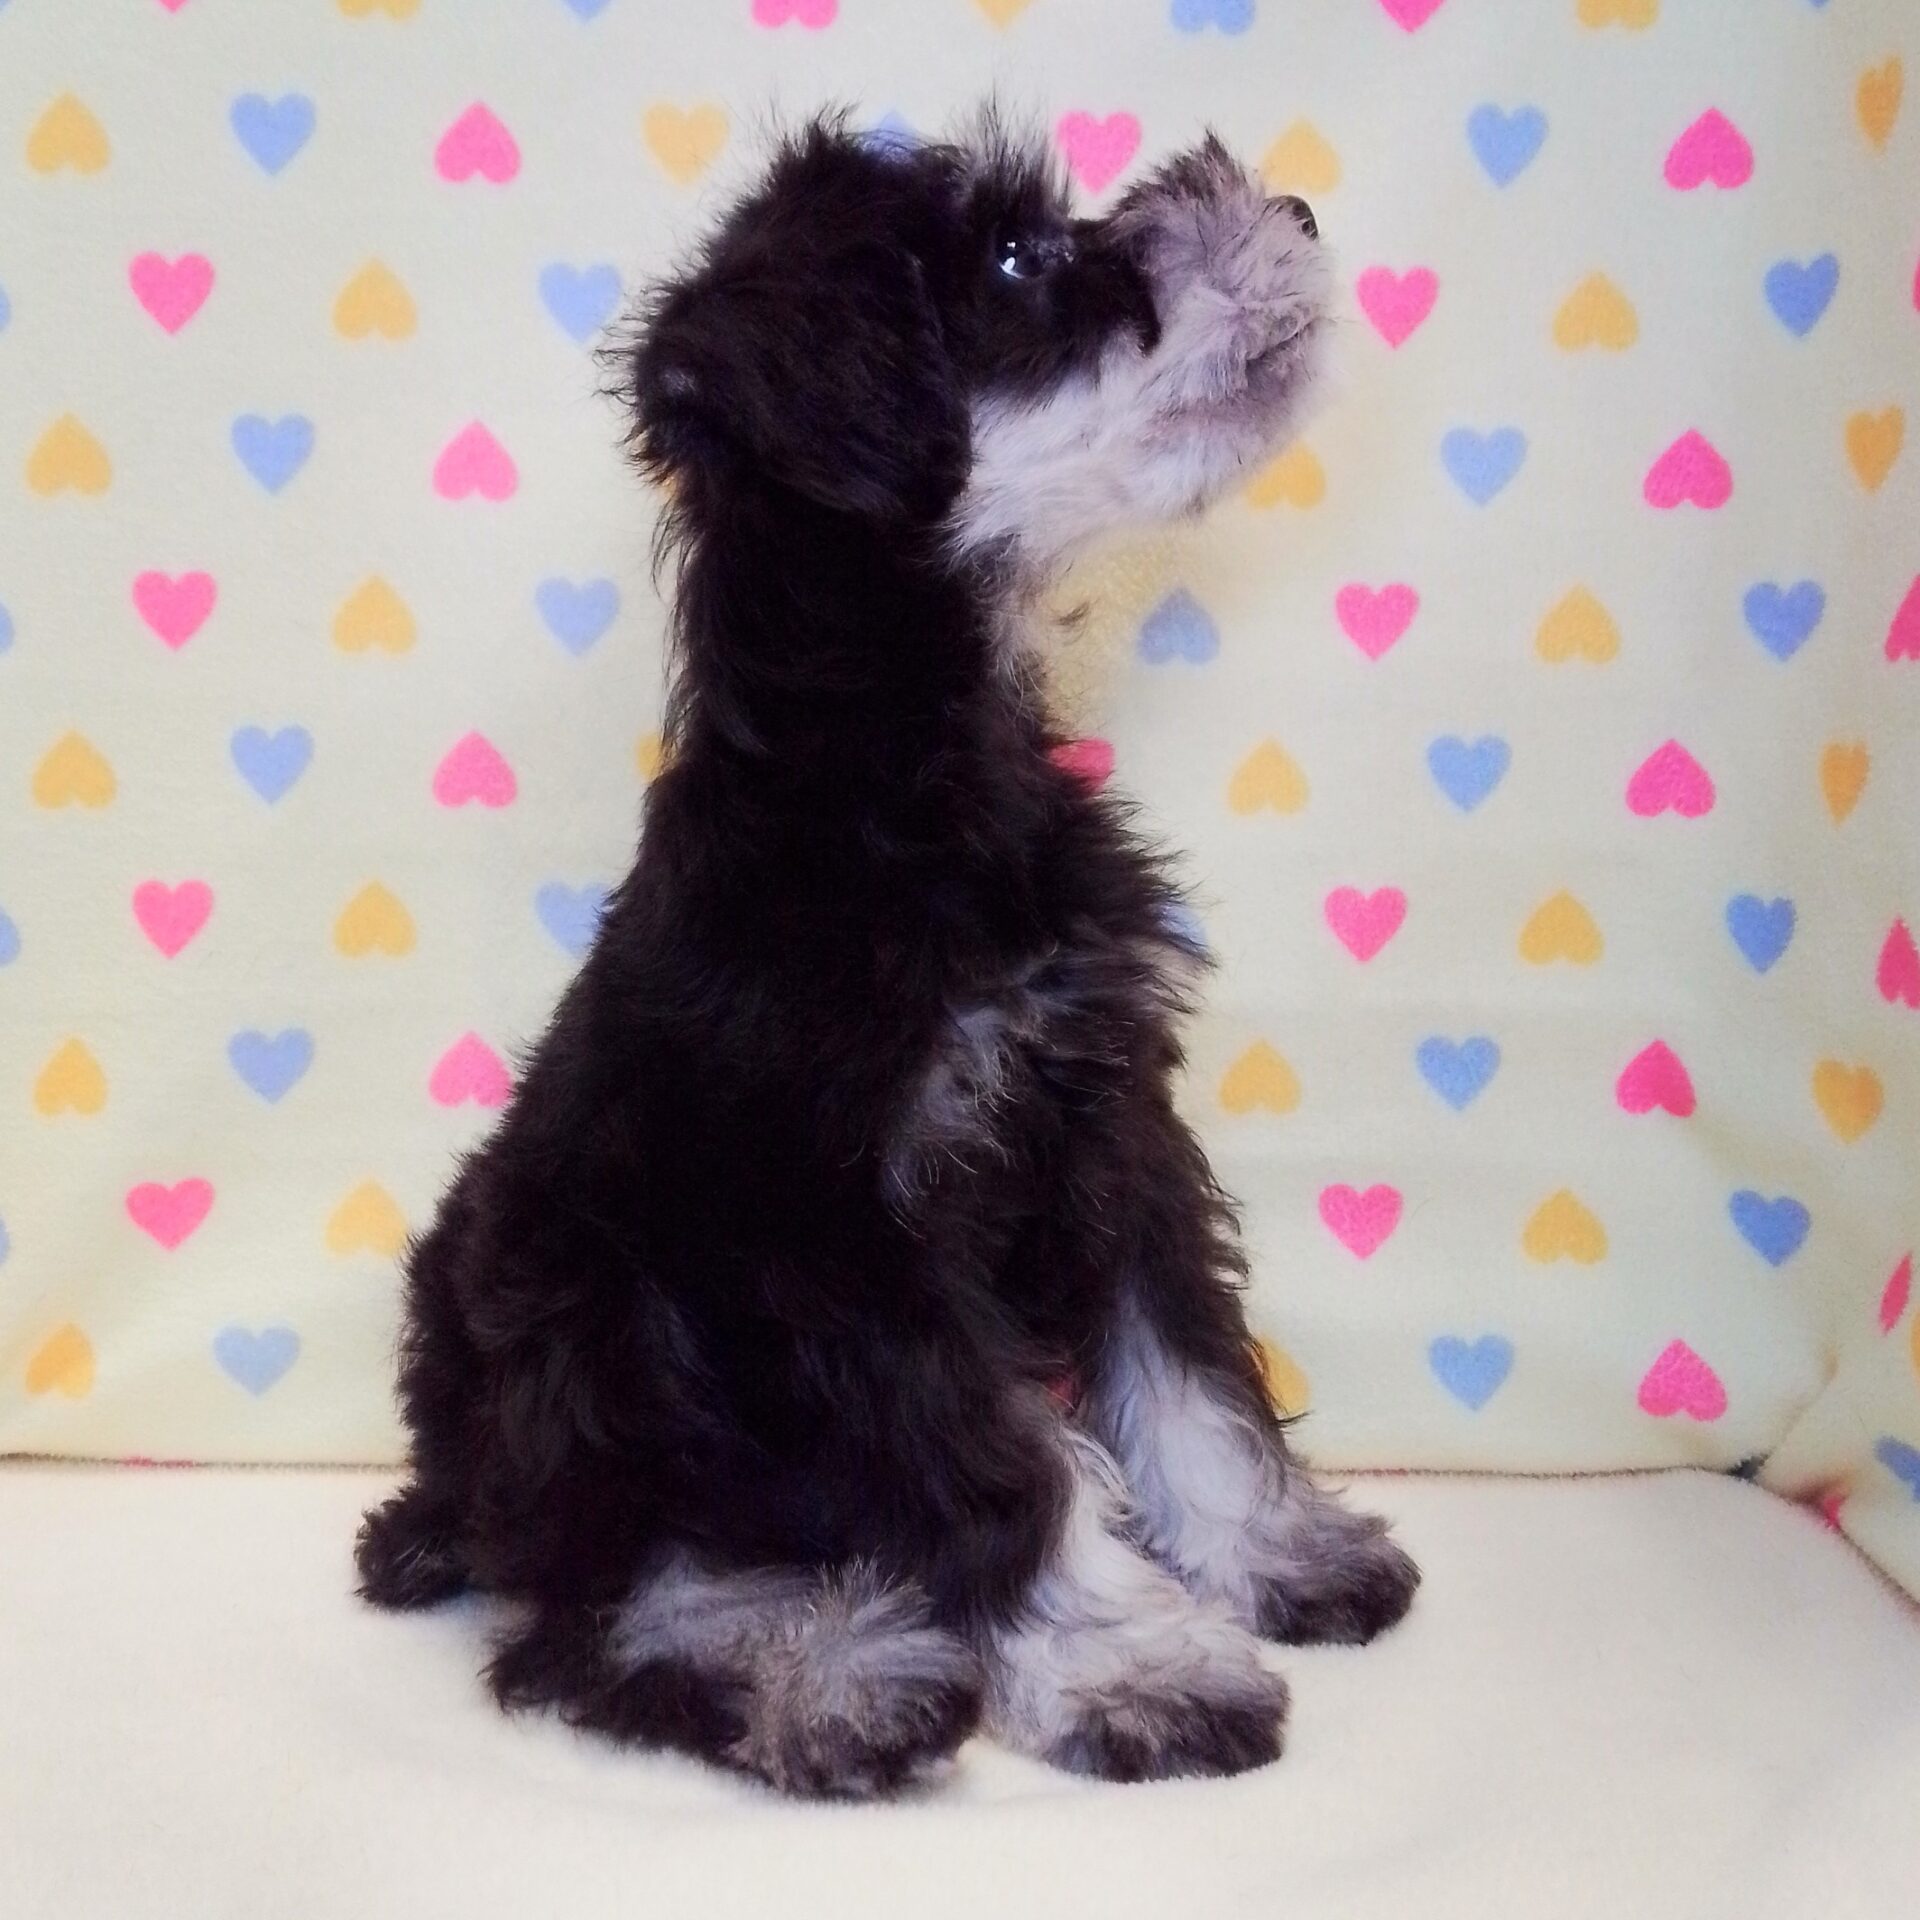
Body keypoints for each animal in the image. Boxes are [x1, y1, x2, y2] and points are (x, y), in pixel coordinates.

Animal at [356, 110, 1417, 1799]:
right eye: (1016, 259)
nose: (1299, 210)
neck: (905, 781)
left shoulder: (1110, 1125)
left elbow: (1190, 1375)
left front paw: (1279, 1554)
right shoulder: (850, 1236)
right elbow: (1007, 1464)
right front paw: (1134, 1668)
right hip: (577, 1319)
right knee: (590, 1615)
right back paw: (835, 1681)